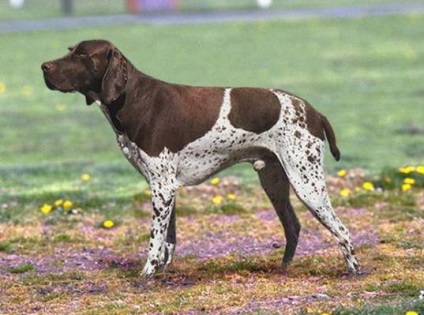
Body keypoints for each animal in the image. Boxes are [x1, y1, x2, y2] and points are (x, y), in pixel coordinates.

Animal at [40, 40, 362, 278]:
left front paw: (146, 275)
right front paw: (161, 273)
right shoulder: (165, 189)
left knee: (343, 231)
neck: (133, 98)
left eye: (82, 55)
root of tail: (313, 111)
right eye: (69, 50)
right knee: (293, 227)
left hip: (307, 183)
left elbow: (154, 241)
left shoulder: (162, 189)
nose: (43, 66)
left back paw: (354, 271)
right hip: (275, 182)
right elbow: (167, 241)